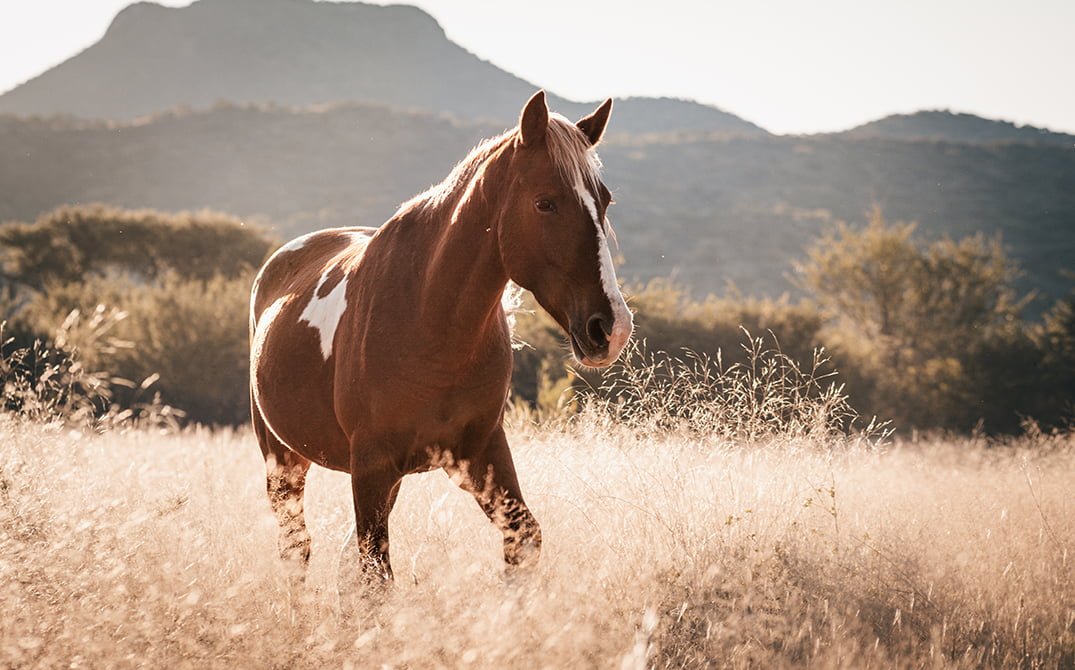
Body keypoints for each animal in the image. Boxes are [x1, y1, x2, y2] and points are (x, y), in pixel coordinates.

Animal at [246, 90, 627, 585]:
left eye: (605, 201)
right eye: (545, 203)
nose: (611, 327)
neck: (430, 324)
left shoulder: (479, 453)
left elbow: (524, 539)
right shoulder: (371, 465)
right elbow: (376, 577)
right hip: (283, 459)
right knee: (297, 548)